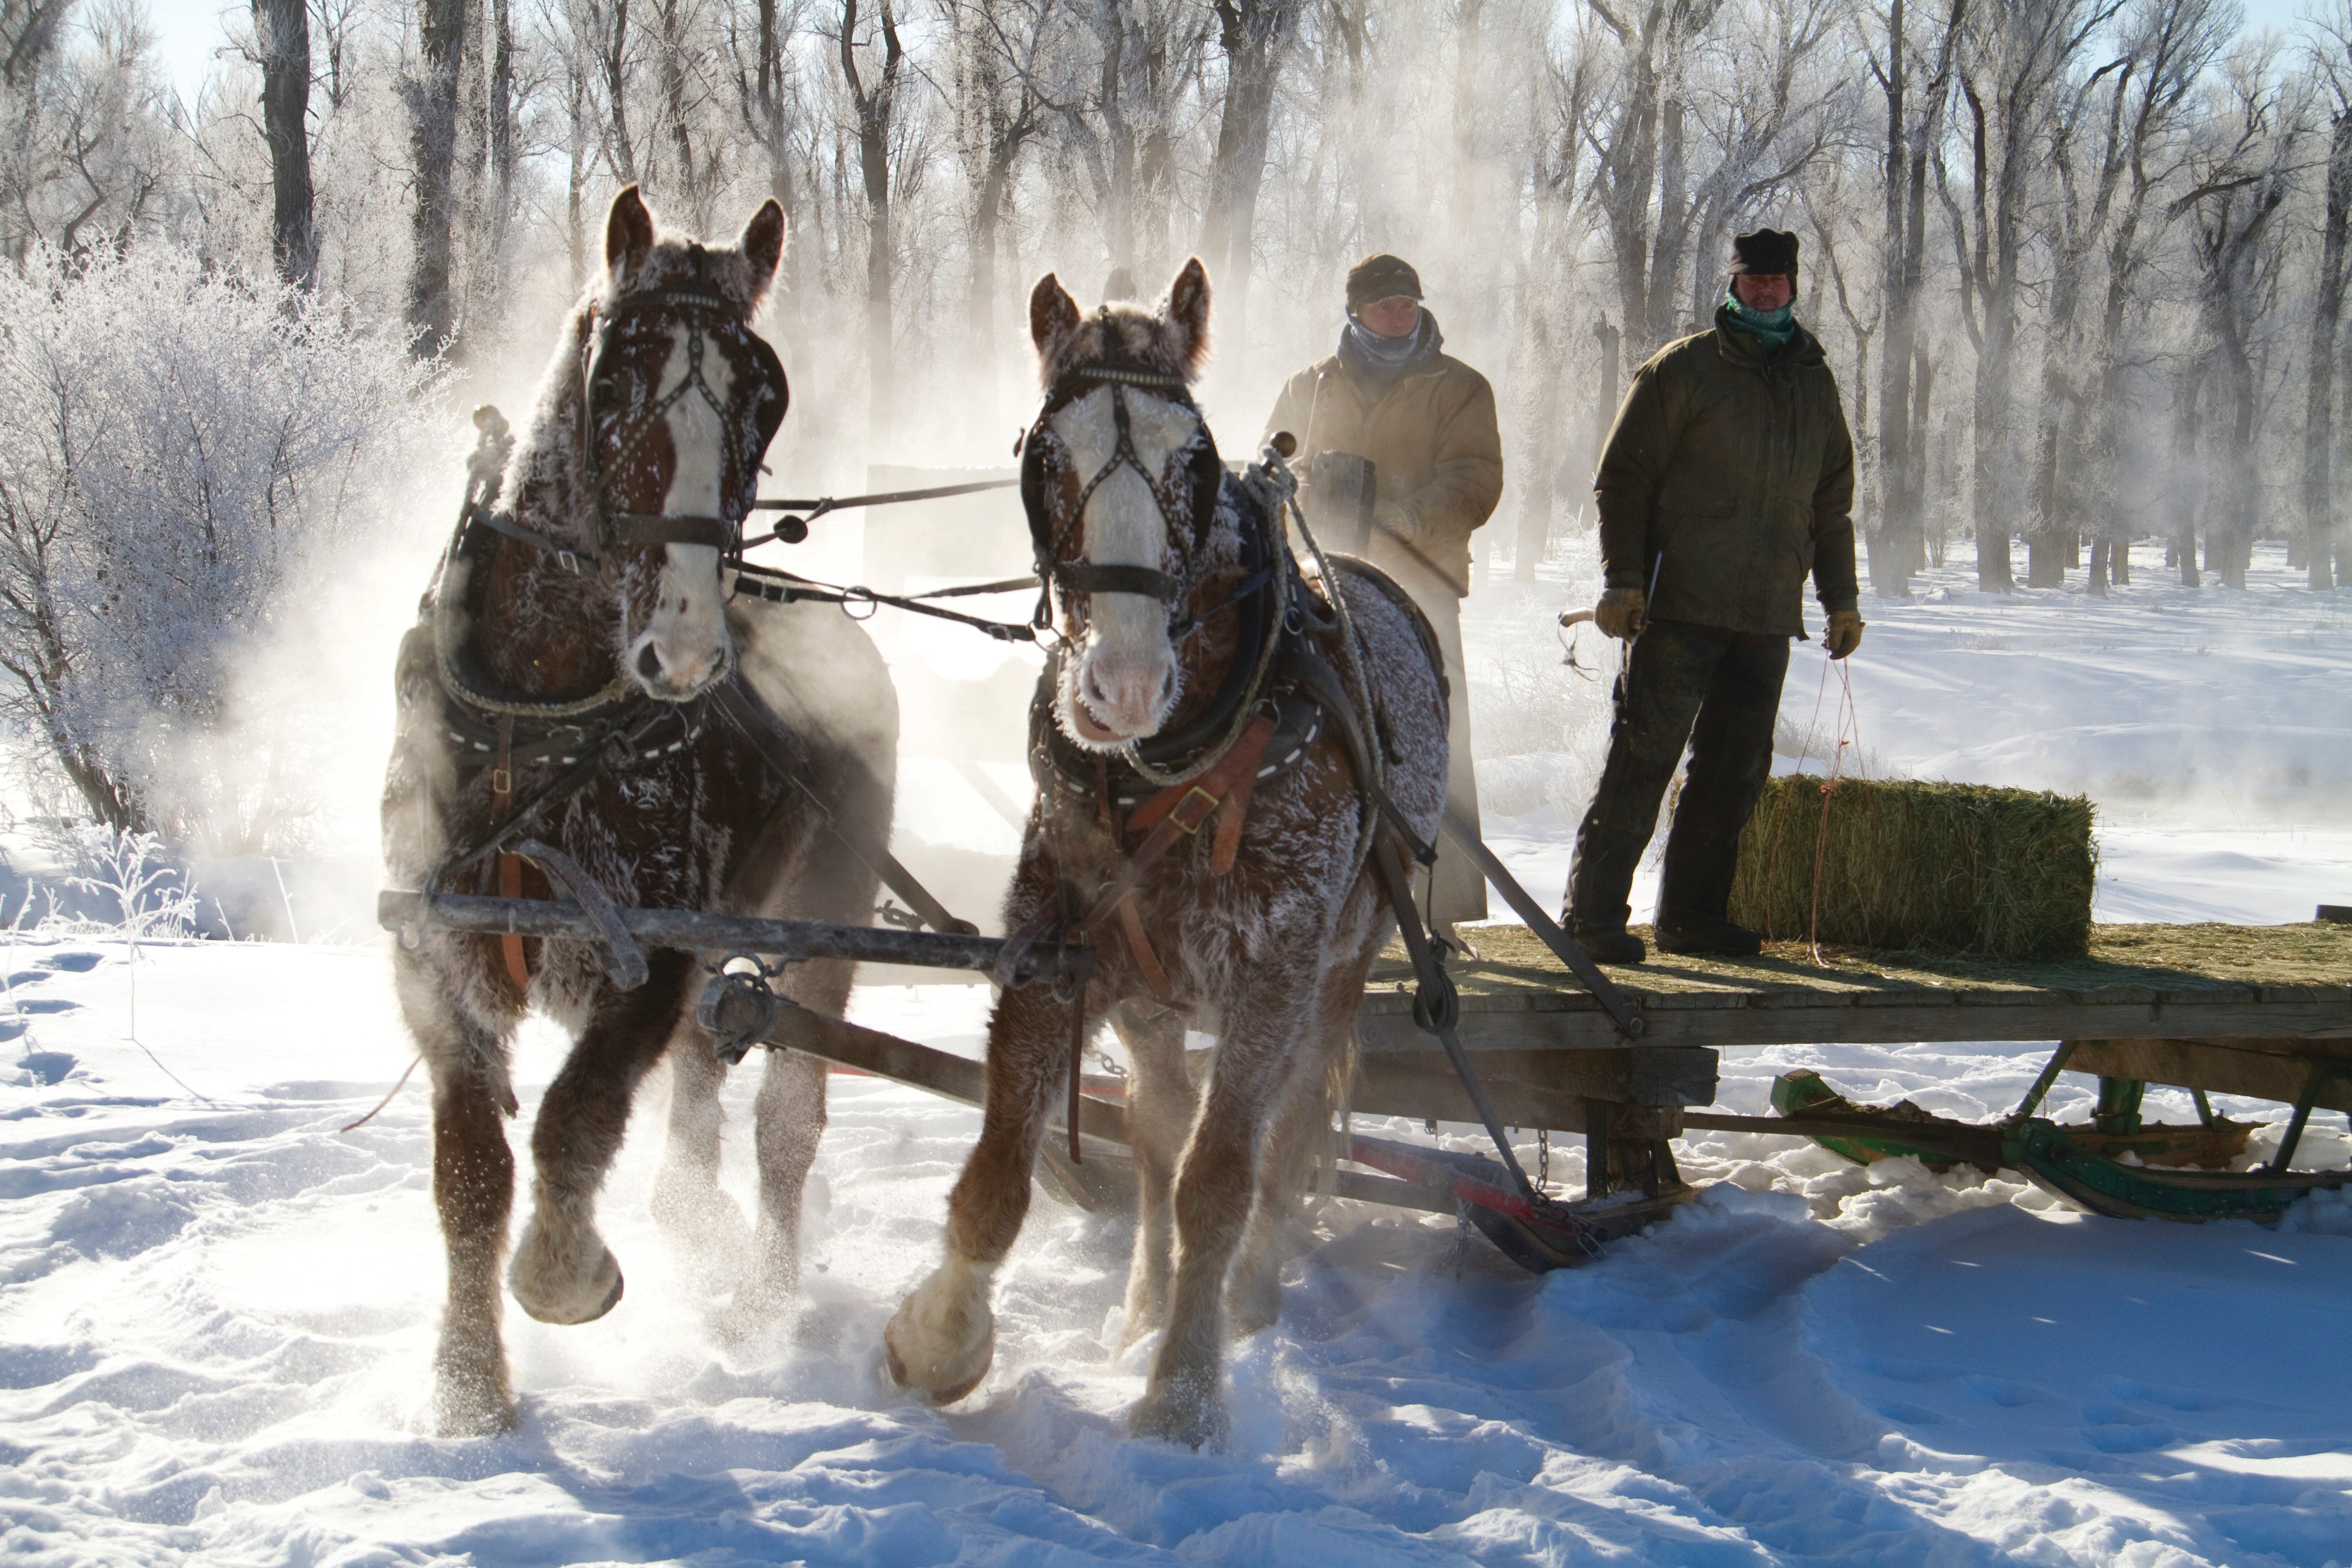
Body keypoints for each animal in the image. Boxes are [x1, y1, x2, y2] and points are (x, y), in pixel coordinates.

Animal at [382, 186, 896, 1436]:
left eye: (766, 393)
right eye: (615, 373)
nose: (687, 649)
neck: (536, 722)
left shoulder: (652, 949)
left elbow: (577, 1115)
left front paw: (563, 1270)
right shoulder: (431, 951)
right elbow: (471, 1169)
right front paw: (468, 1384)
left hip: (825, 908)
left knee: (784, 1120)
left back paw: (760, 1297)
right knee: (704, 1096)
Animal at [882, 260, 1449, 1450]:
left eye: (1193, 457)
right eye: (1045, 455)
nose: (1125, 684)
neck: (1174, 757)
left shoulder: (1273, 975)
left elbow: (1220, 1179)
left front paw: (1185, 1389)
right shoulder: (1055, 954)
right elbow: (1003, 1166)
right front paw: (944, 1336)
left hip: (1338, 971)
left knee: (1287, 1126)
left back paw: (1250, 1294)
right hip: (1148, 990)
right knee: (1153, 1125)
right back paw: (1143, 1303)